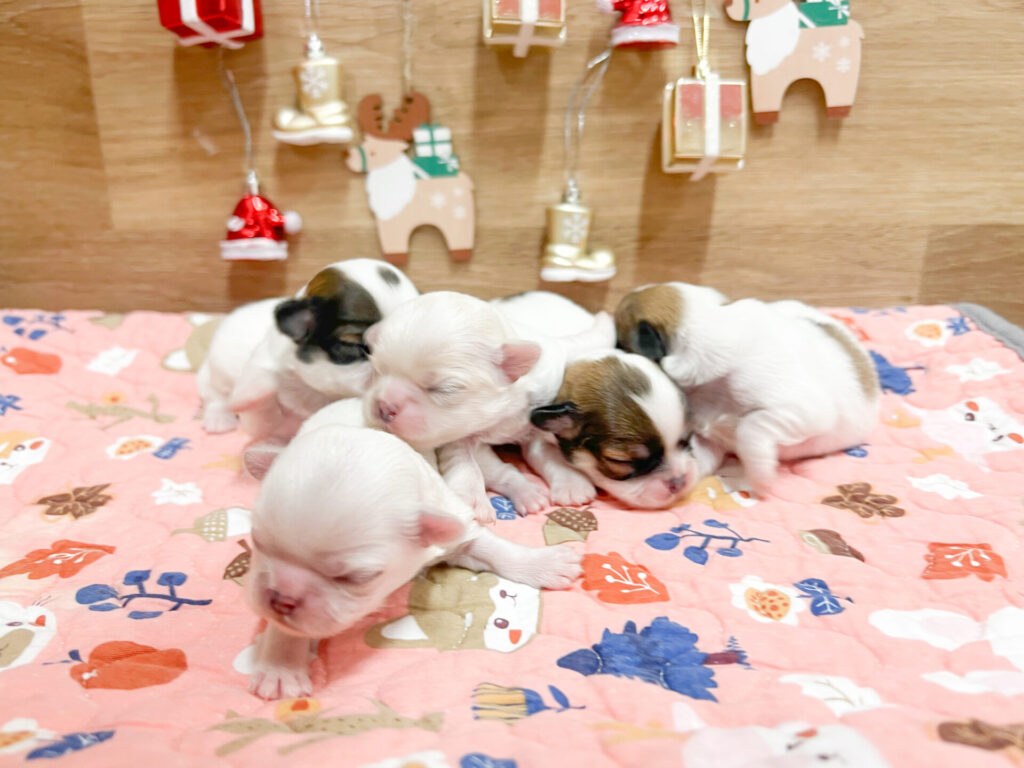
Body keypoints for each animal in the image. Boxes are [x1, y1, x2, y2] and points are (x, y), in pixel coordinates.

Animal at [244, 419, 582, 699]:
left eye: (356, 578)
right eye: (258, 541)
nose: (281, 599)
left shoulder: (454, 525)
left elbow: (496, 549)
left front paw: (546, 563)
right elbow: (287, 628)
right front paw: (280, 665)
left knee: (498, 470)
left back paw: (528, 492)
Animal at [363, 291, 614, 520]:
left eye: (444, 388)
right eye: (377, 371)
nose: (384, 406)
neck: (501, 416)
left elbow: (546, 452)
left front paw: (571, 483)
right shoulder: (456, 437)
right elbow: (467, 462)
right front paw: (474, 500)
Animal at [529, 349, 711, 509]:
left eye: (688, 438)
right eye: (620, 461)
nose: (679, 482)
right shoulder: (536, 436)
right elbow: (549, 456)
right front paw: (573, 486)